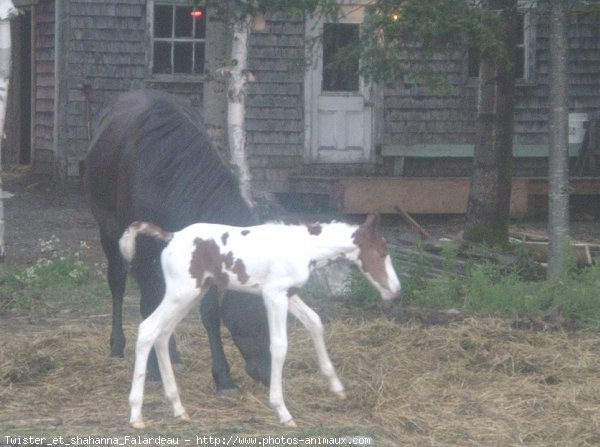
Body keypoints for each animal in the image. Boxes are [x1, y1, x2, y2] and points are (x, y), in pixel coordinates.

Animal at [84, 89, 270, 394]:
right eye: (256, 311)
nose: (267, 373)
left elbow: (209, 313)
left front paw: (223, 378)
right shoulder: (141, 250)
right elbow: (147, 303)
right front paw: (153, 370)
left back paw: (172, 353)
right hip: (108, 231)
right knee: (118, 282)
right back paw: (118, 345)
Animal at [119, 215, 400, 428]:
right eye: (383, 253)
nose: (396, 291)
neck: (305, 247)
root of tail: (171, 236)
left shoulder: (288, 293)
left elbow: (315, 322)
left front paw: (336, 386)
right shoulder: (273, 295)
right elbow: (279, 346)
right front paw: (282, 411)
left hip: (192, 293)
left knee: (163, 333)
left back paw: (178, 408)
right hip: (181, 292)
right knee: (148, 330)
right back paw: (136, 415)